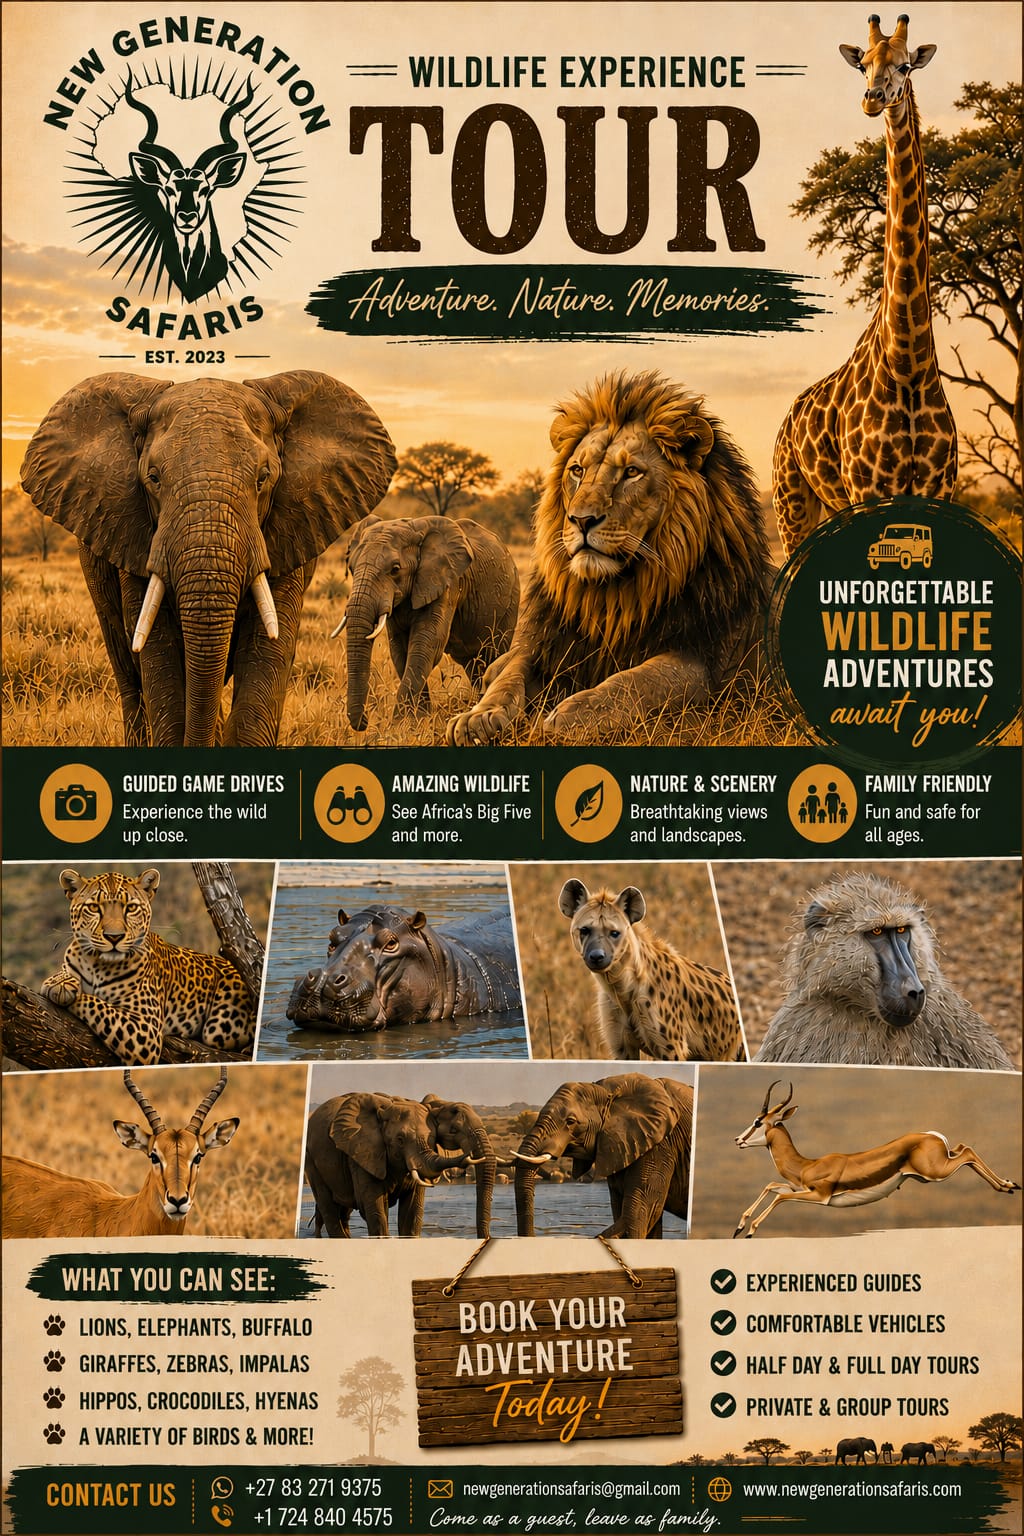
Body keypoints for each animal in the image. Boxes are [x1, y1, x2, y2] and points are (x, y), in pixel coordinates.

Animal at [772, 14, 957, 559]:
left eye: (904, 65)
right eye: (863, 66)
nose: (873, 98)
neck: (908, 363)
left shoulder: (940, 489)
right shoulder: (869, 489)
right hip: (792, 503)